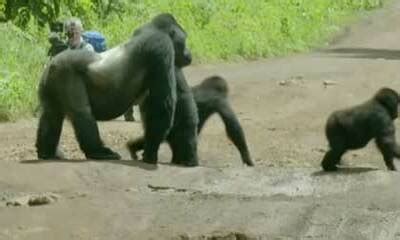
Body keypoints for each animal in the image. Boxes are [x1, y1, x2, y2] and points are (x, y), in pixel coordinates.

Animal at [36, 13, 194, 163]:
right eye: (184, 40)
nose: (189, 54)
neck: (154, 29)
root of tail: (51, 65)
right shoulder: (161, 47)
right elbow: (162, 104)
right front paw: (151, 151)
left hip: (49, 80)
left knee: (51, 114)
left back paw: (46, 152)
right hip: (65, 72)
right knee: (82, 113)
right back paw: (98, 152)